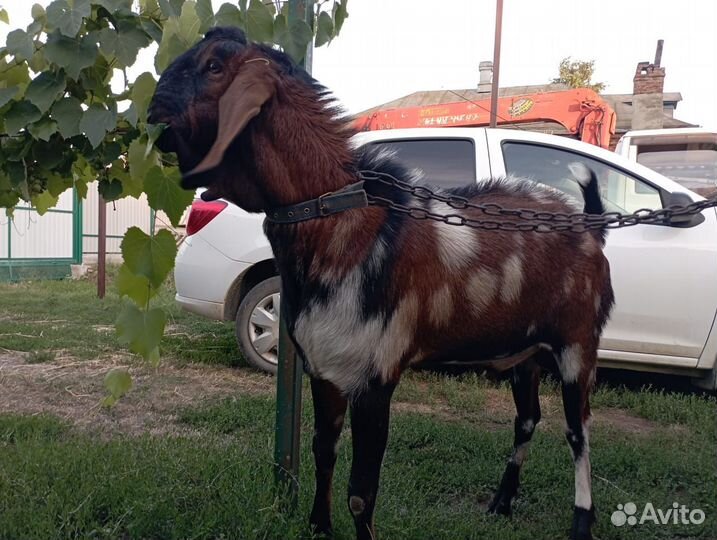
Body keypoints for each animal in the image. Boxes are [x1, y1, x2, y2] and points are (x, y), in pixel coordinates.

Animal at [148, 27, 612, 540]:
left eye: (213, 66)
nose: (151, 109)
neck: (344, 224)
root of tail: (591, 225)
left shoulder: (376, 376)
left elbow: (361, 493)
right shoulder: (325, 369)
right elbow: (323, 454)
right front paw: (318, 528)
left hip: (577, 344)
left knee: (578, 431)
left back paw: (581, 521)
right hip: (524, 352)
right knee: (527, 419)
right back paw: (502, 502)